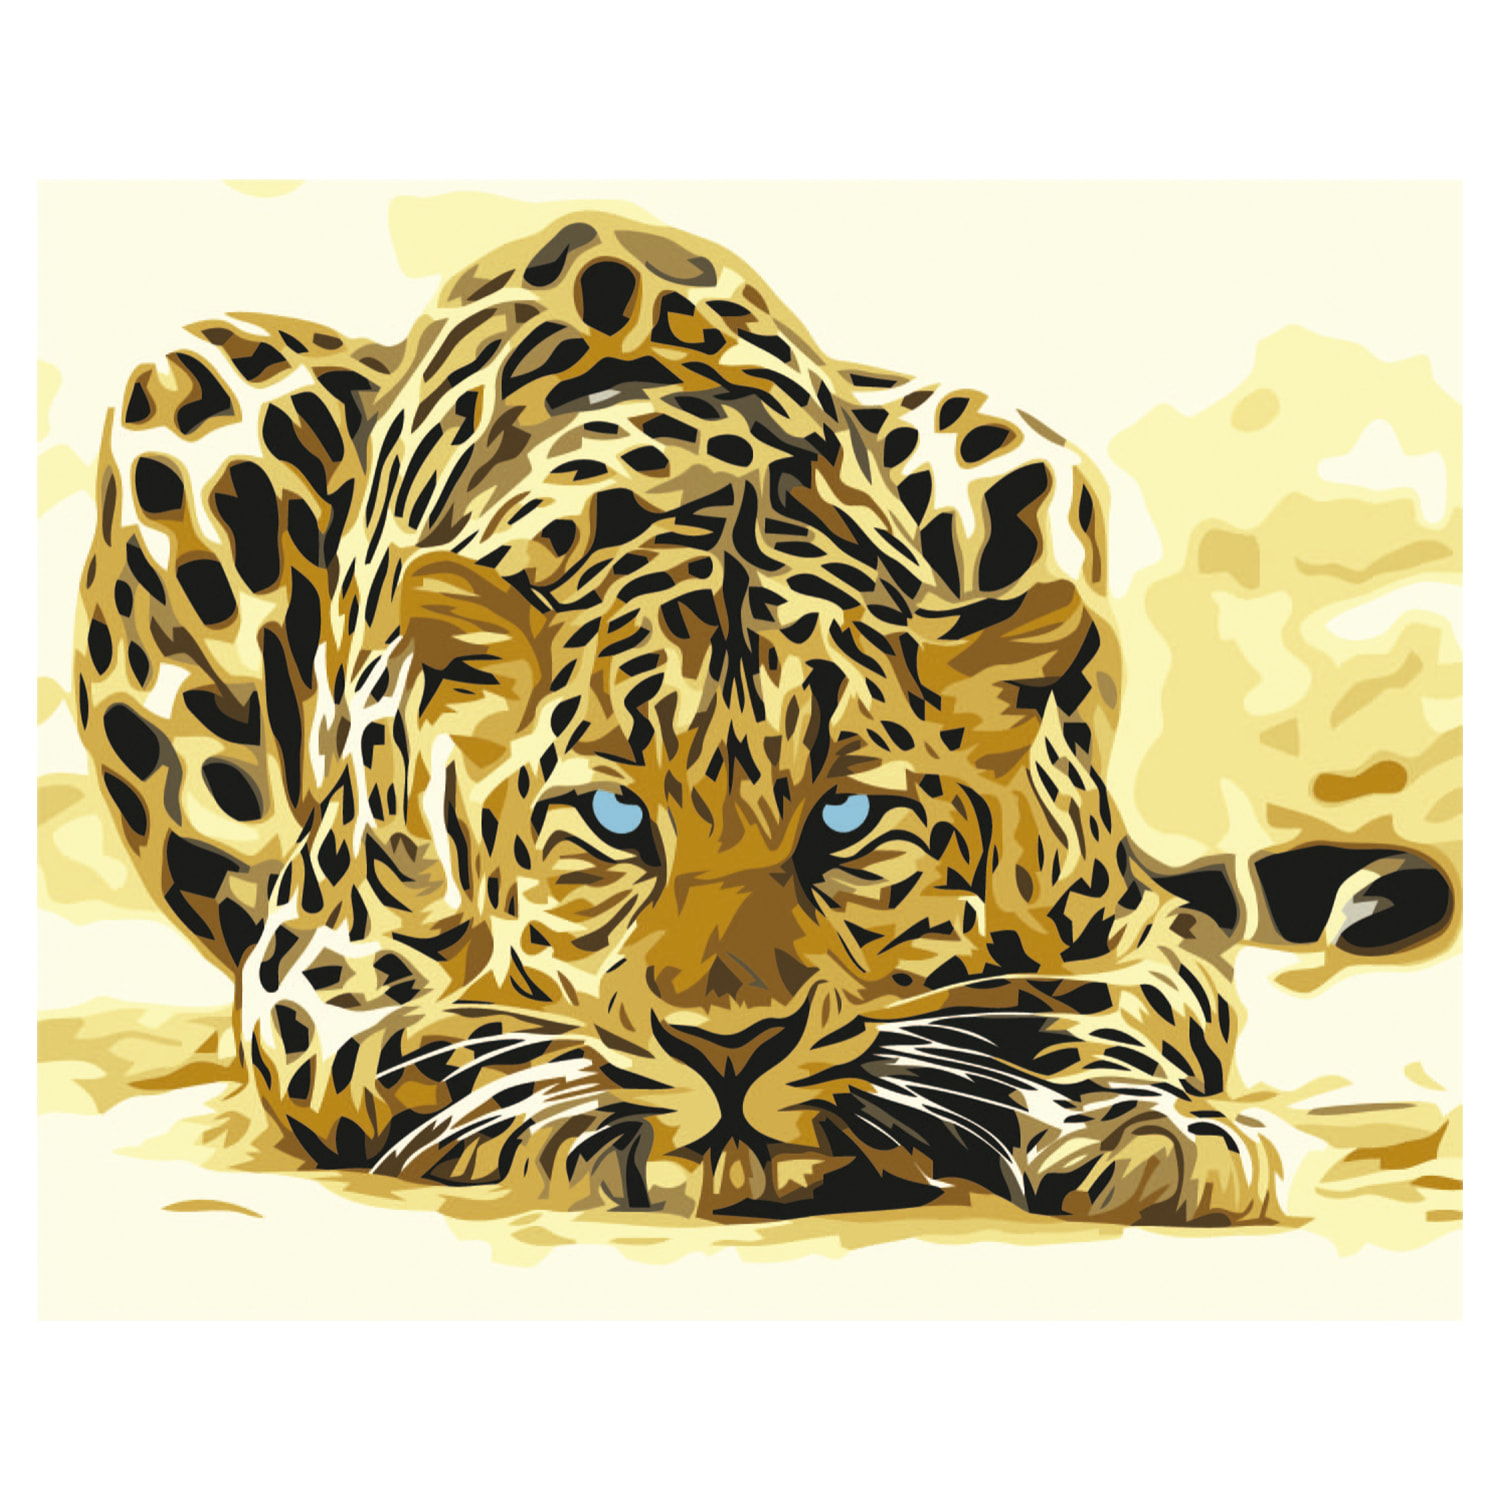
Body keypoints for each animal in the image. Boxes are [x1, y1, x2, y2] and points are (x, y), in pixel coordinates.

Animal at [74, 210, 1282, 1222]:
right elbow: (475, 1047)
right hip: (185, 389)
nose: (732, 1050)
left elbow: (1099, 1014)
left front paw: (1153, 1132)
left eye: (845, 820)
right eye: (616, 819)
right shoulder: (317, 977)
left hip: (1017, 445)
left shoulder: (1137, 927)